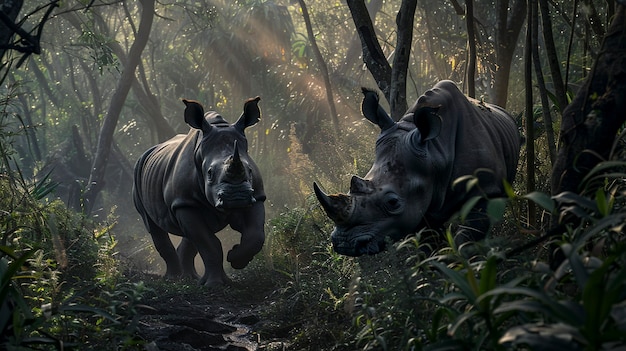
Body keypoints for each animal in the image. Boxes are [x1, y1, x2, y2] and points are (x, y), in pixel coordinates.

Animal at [133, 96, 264, 286]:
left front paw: (234, 258)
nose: (237, 197)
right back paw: (174, 279)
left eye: (250, 171)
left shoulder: (256, 196)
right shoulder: (184, 202)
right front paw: (215, 285)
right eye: (209, 173)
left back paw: (190, 278)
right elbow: (209, 244)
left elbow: (255, 235)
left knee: (190, 236)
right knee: (154, 227)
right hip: (139, 172)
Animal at [314, 81, 520, 258]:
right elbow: (428, 248)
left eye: (393, 203)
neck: (435, 152)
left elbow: (466, 241)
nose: (345, 244)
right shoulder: (419, 207)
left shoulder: (486, 191)